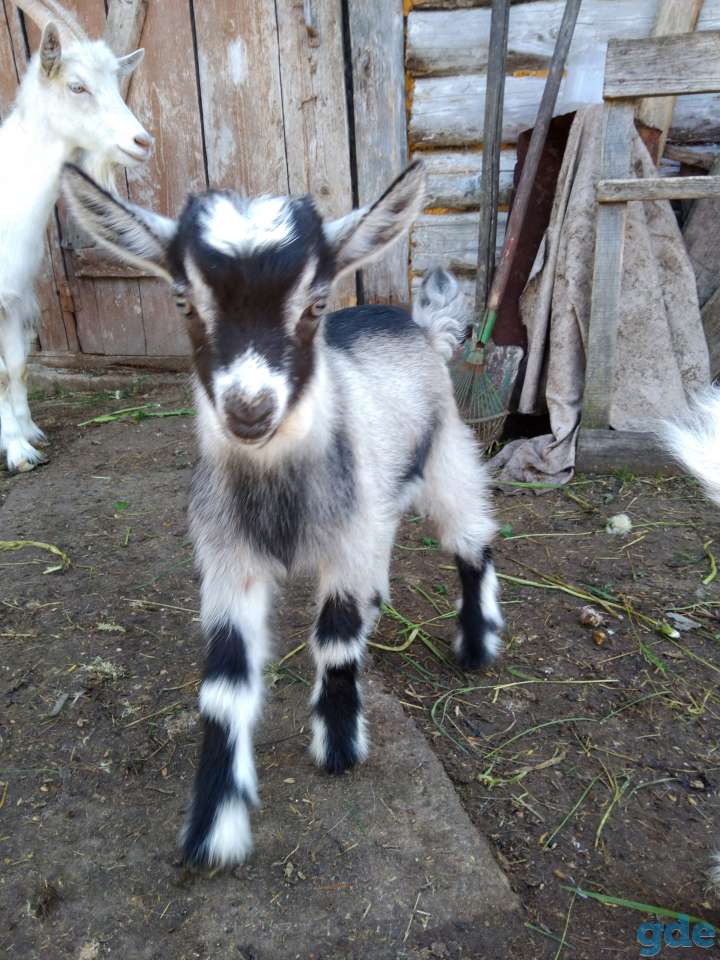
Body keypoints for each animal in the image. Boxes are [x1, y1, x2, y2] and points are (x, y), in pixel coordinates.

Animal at [0, 0, 151, 473]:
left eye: (117, 84)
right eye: (77, 86)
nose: (142, 142)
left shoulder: (13, 296)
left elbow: (16, 367)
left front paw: (27, 436)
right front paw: (17, 453)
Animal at [61, 159, 504, 867]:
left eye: (317, 302)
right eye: (184, 301)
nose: (250, 409)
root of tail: (419, 326)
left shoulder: (345, 543)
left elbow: (335, 640)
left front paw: (340, 745)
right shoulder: (229, 559)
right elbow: (223, 686)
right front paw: (214, 824)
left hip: (444, 458)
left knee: (472, 541)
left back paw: (478, 641)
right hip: (374, 496)